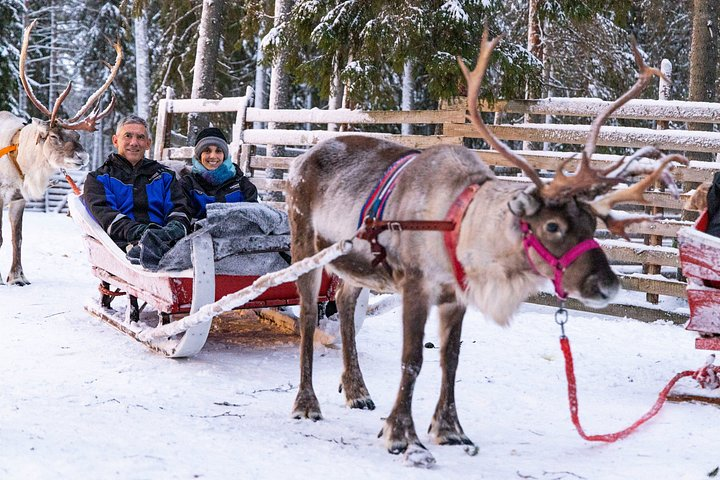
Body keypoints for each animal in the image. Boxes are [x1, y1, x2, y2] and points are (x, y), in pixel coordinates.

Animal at [0, 20, 121, 285]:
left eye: (78, 137)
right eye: (54, 136)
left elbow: (17, 238)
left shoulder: (19, 199)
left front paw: (18, 277)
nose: (83, 157)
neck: (20, 160)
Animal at [287, 30, 687, 467]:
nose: (608, 285)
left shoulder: (455, 294)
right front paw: (403, 436)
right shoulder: (415, 284)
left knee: (343, 301)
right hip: (304, 244)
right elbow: (413, 359)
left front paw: (449, 429)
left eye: (592, 224)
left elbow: (451, 358)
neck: (459, 226)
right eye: (552, 226)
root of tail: (299, 160)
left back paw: (357, 391)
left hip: (357, 264)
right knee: (308, 315)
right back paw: (306, 403)